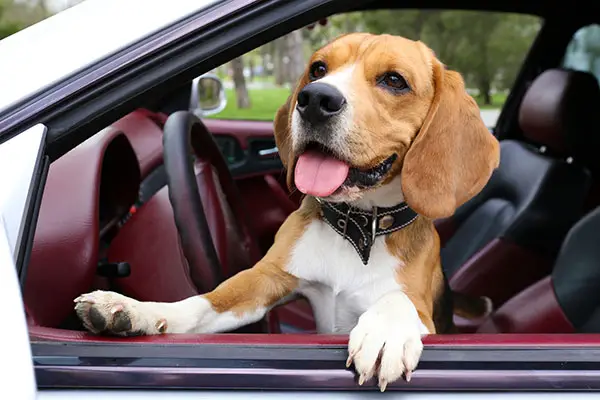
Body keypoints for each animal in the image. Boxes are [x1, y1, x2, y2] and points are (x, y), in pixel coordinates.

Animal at [75, 33, 500, 390]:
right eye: (318, 69)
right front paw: (134, 310)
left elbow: (397, 299)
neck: (357, 227)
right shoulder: (264, 281)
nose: (315, 99)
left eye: (395, 80)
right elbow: (200, 304)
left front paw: (385, 332)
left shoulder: (421, 309)